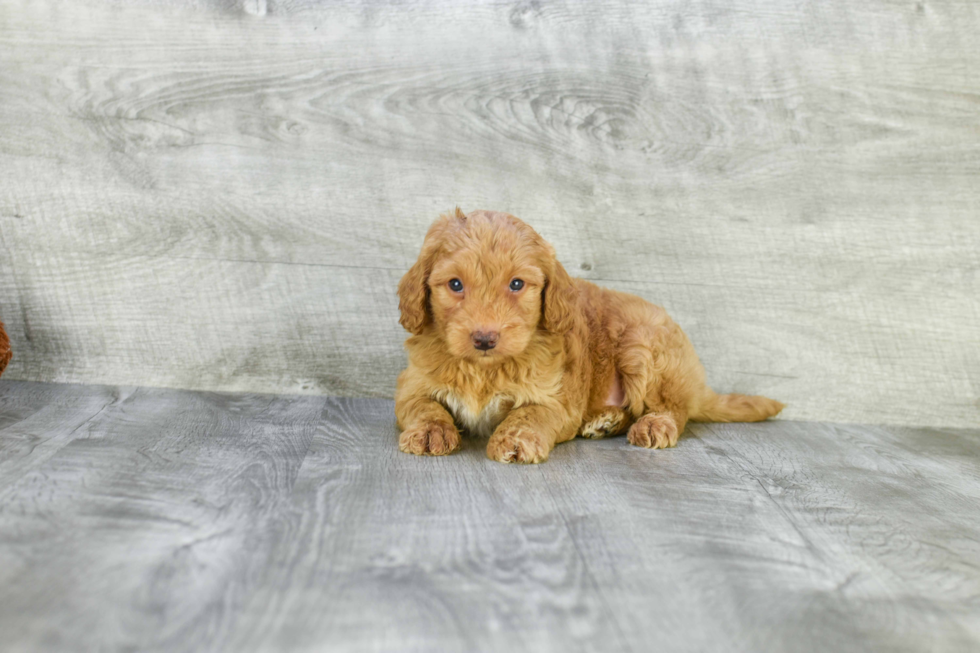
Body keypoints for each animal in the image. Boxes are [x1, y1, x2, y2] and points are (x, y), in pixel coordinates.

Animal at [394, 210, 784, 464]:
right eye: (455, 284)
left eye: (517, 284)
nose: (485, 339)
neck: (484, 368)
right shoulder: (412, 385)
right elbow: (423, 405)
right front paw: (430, 432)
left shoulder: (554, 398)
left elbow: (529, 414)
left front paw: (517, 440)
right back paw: (605, 421)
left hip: (643, 347)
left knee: (674, 408)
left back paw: (653, 423)